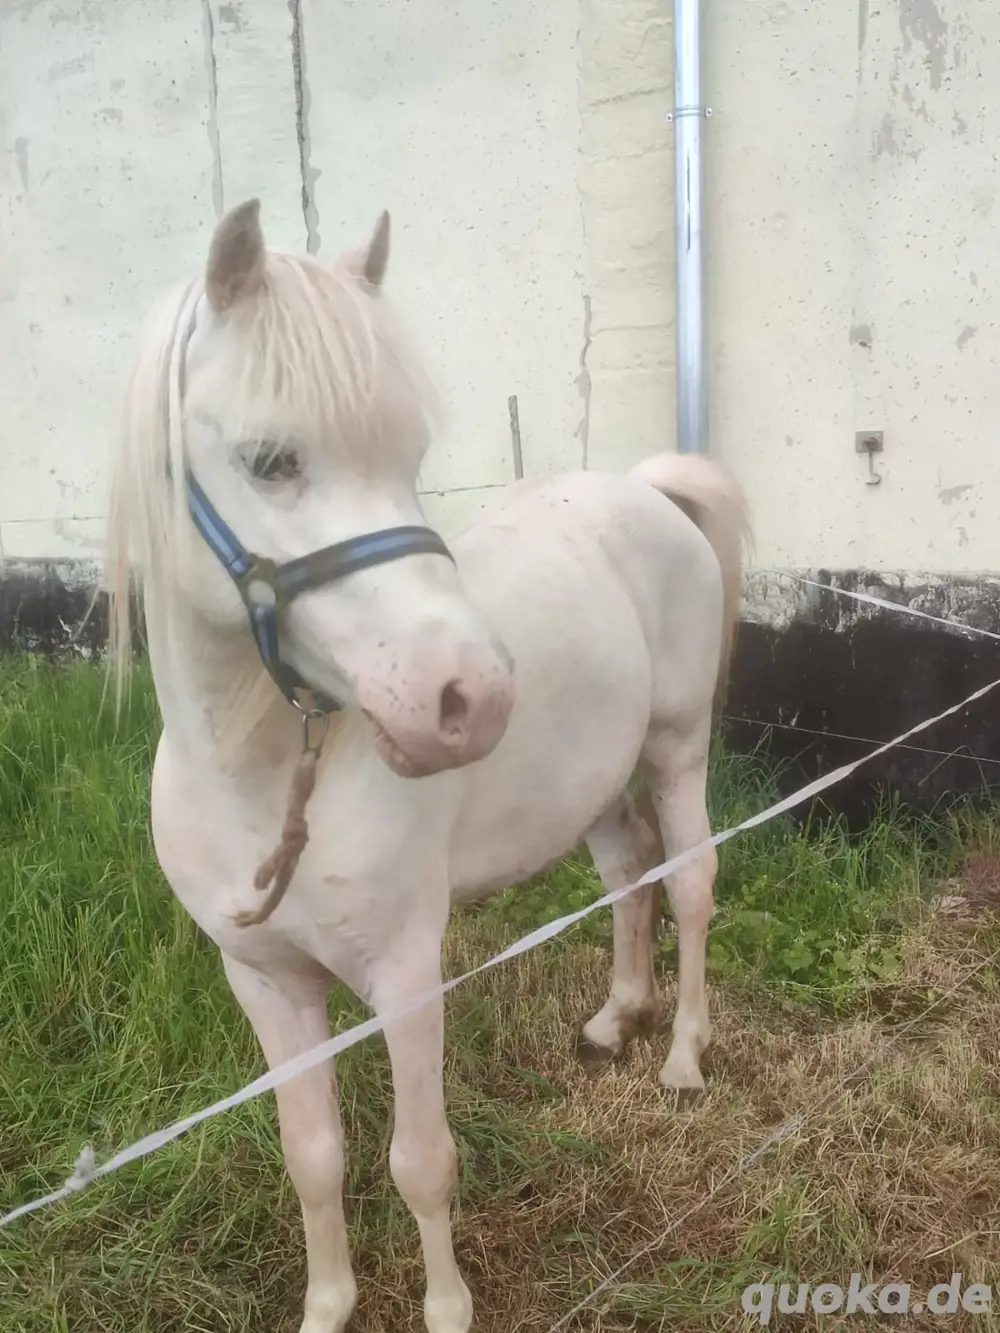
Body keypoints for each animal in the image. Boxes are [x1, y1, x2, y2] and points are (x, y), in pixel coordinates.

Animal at [104, 197, 751, 1333]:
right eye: (271, 459)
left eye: (409, 456)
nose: (472, 696)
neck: (257, 785)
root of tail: (643, 490)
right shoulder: (266, 985)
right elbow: (312, 1157)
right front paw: (327, 1306)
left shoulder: (406, 975)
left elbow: (420, 1161)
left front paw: (446, 1307)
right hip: (590, 784)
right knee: (627, 873)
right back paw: (615, 1018)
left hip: (676, 749)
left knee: (690, 882)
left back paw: (680, 1055)